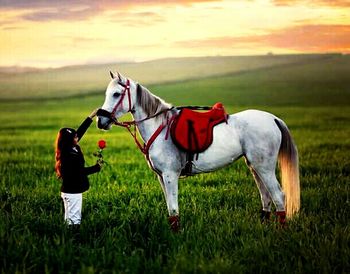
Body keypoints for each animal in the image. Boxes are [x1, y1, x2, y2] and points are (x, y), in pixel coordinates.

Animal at [97, 71, 300, 230]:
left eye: (116, 94)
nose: (101, 121)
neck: (160, 127)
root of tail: (273, 119)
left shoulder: (170, 175)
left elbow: (173, 208)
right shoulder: (161, 177)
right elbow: (170, 208)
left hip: (264, 168)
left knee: (278, 196)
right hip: (254, 166)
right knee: (266, 196)